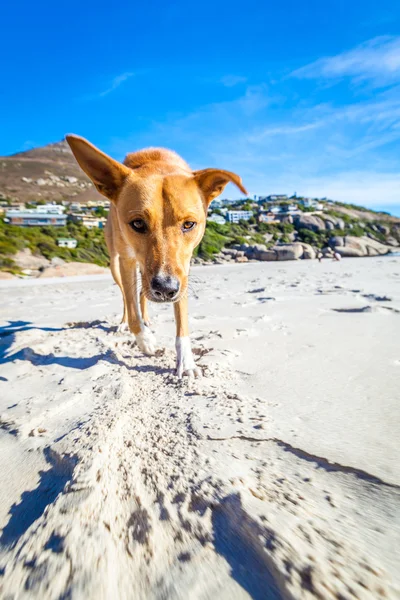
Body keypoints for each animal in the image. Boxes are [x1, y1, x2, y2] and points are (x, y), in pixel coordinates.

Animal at [66, 137, 247, 380]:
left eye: (189, 224)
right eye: (137, 223)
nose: (165, 289)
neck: (156, 163)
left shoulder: (183, 269)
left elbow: (181, 321)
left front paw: (186, 362)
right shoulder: (127, 261)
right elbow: (132, 307)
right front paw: (145, 340)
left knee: (142, 294)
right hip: (115, 263)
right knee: (127, 297)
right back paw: (126, 324)